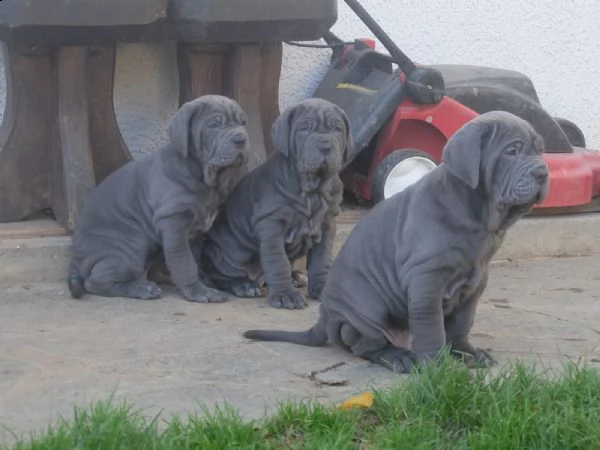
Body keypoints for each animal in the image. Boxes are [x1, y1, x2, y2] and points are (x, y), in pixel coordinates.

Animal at [67, 95, 250, 302]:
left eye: (243, 123)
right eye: (214, 125)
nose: (241, 139)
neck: (200, 174)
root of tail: (75, 259)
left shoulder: (195, 230)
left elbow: (194, 260)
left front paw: (204, 282)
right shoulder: (173, 222)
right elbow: (184, 262)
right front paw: (198, 291)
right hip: (130, 248)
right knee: (96, 281)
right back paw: (142, 289)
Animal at [200, 98, 352, 310]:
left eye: (337, 129)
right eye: (305, 128)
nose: (325, 145)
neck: (313, 189)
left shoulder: (327, 224)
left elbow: (322, 260)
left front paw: (321, 286)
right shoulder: (271, 226)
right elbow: (277, 261)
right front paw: (284, 295)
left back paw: (296, 276)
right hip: (230, 250)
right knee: (220, 273)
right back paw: (243, 285)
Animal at [243, 110, 548, 370]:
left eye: (540, 150)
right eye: (512, 151)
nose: (543, 172)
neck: (480, 216)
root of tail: (326, 315)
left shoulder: (475, 283)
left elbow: (462, 323)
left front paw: (465, 352)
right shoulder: (426, 279)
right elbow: (432, 327)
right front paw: (438, 367)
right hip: (367, 309)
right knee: (365, 345)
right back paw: (399, 357)